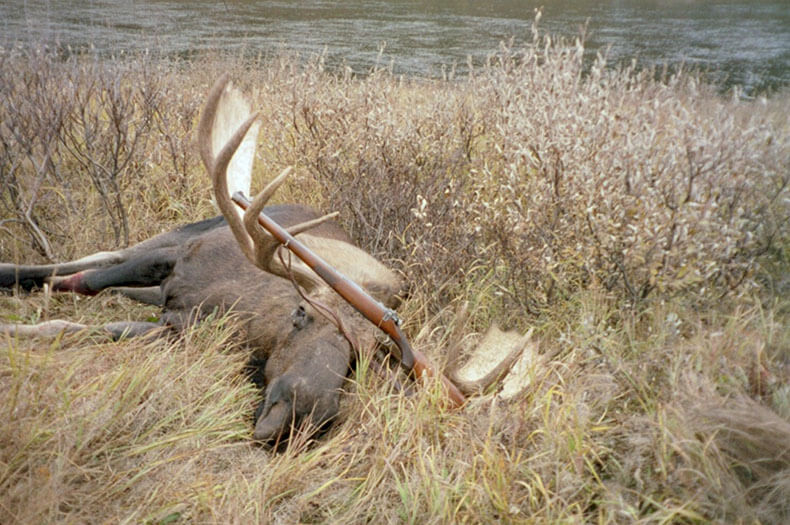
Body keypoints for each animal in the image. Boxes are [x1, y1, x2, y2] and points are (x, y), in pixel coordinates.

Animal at [1, 75, 531, 443]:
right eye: (301, 314)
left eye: (363, 358)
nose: (296, 417)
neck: (240, 313)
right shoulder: (178, 259)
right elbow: (84, 283)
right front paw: (17, 310)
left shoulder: (176, 329)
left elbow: (90, 326)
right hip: (183, 231)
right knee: (98, 257)